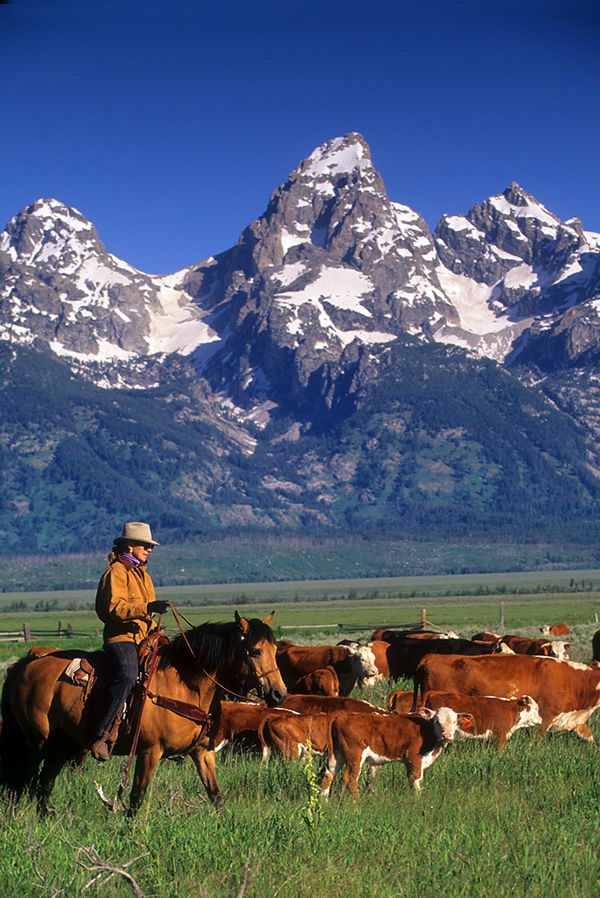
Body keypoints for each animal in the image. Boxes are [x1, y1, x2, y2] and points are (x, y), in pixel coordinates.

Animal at [0, 608, 286, 812]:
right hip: (38, 740)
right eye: (254, 651)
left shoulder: (202, 752)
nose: (278, 693)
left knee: (43, 783)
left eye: (275, 649)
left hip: (64, 743)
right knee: (26, 781)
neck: (185, 685)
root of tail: (25, 664)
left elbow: (216, 796)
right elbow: (136, 797)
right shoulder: (149, 751)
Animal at [322, 708, 472, 800]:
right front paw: (417, 800)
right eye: (436, 721)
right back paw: (356, 804)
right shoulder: (414, 757)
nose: (447, 735)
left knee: (328, 775)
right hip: (355, 757)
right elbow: (415, 779)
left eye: (454, 722)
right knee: (350, 778)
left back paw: (324, 802)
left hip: (337, 755)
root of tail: (343, 714)